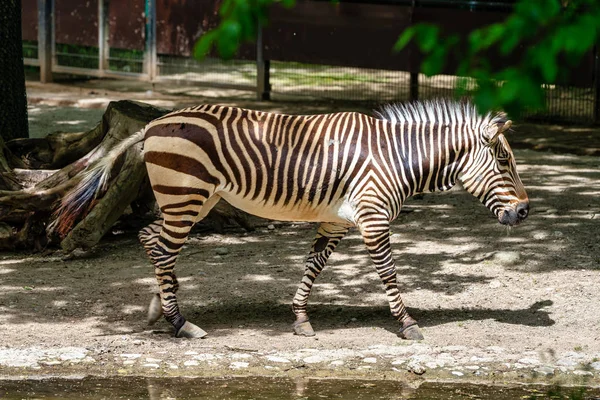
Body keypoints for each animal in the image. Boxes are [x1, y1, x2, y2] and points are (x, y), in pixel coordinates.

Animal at [54, 99, 528, 340]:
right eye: (504, 161)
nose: (525, 211)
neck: (394, 157)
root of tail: (154, 122)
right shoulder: (373, 218)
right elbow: (389, 273)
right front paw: (408, 324)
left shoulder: (338, 220)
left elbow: (313, 266)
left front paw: (300, 319)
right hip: (186, 197)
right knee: (163, 248)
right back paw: (179, 323)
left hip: (192, 200)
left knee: (152, 239)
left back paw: (160, 309)